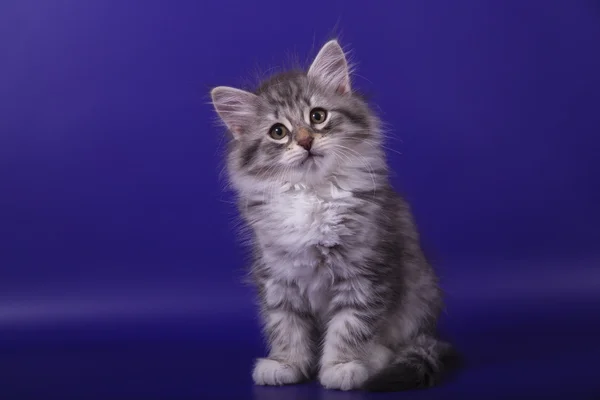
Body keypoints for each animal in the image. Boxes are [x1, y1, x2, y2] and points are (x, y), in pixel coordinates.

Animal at [210, 39, 454, 390]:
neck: (313, 193)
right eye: (278, 132)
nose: (305, 140)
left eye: (318, 116)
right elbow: (286, 326)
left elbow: (350, 326)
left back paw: (375, 358)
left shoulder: (364, 273)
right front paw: (286, 363)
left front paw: (342, 366)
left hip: (420, 297)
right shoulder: (278, 277)